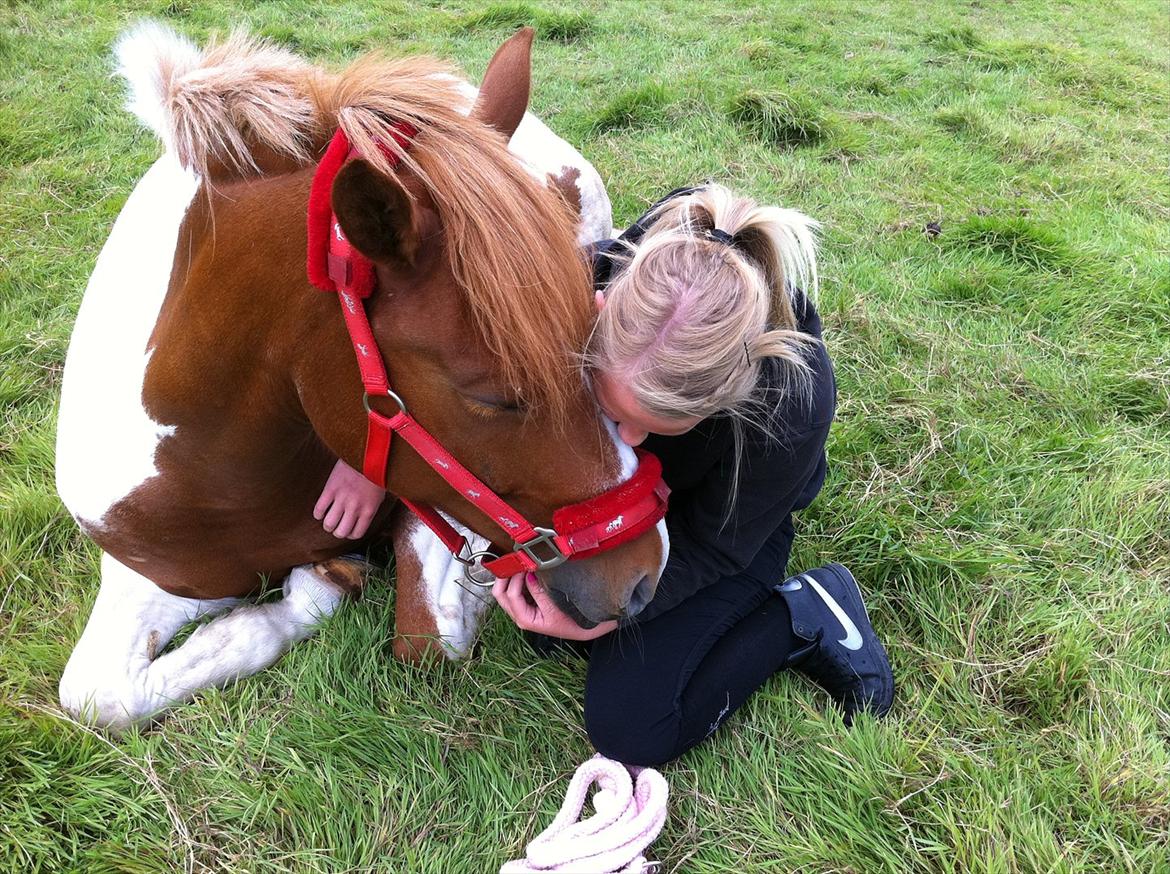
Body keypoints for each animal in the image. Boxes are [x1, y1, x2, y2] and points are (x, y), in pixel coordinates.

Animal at [56, 22, 668, 732]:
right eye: (491, 395)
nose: (644, 575)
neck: (226, 469)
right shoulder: (153, 574)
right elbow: (97, 697)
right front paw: (317, 585)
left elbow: (430, 633)